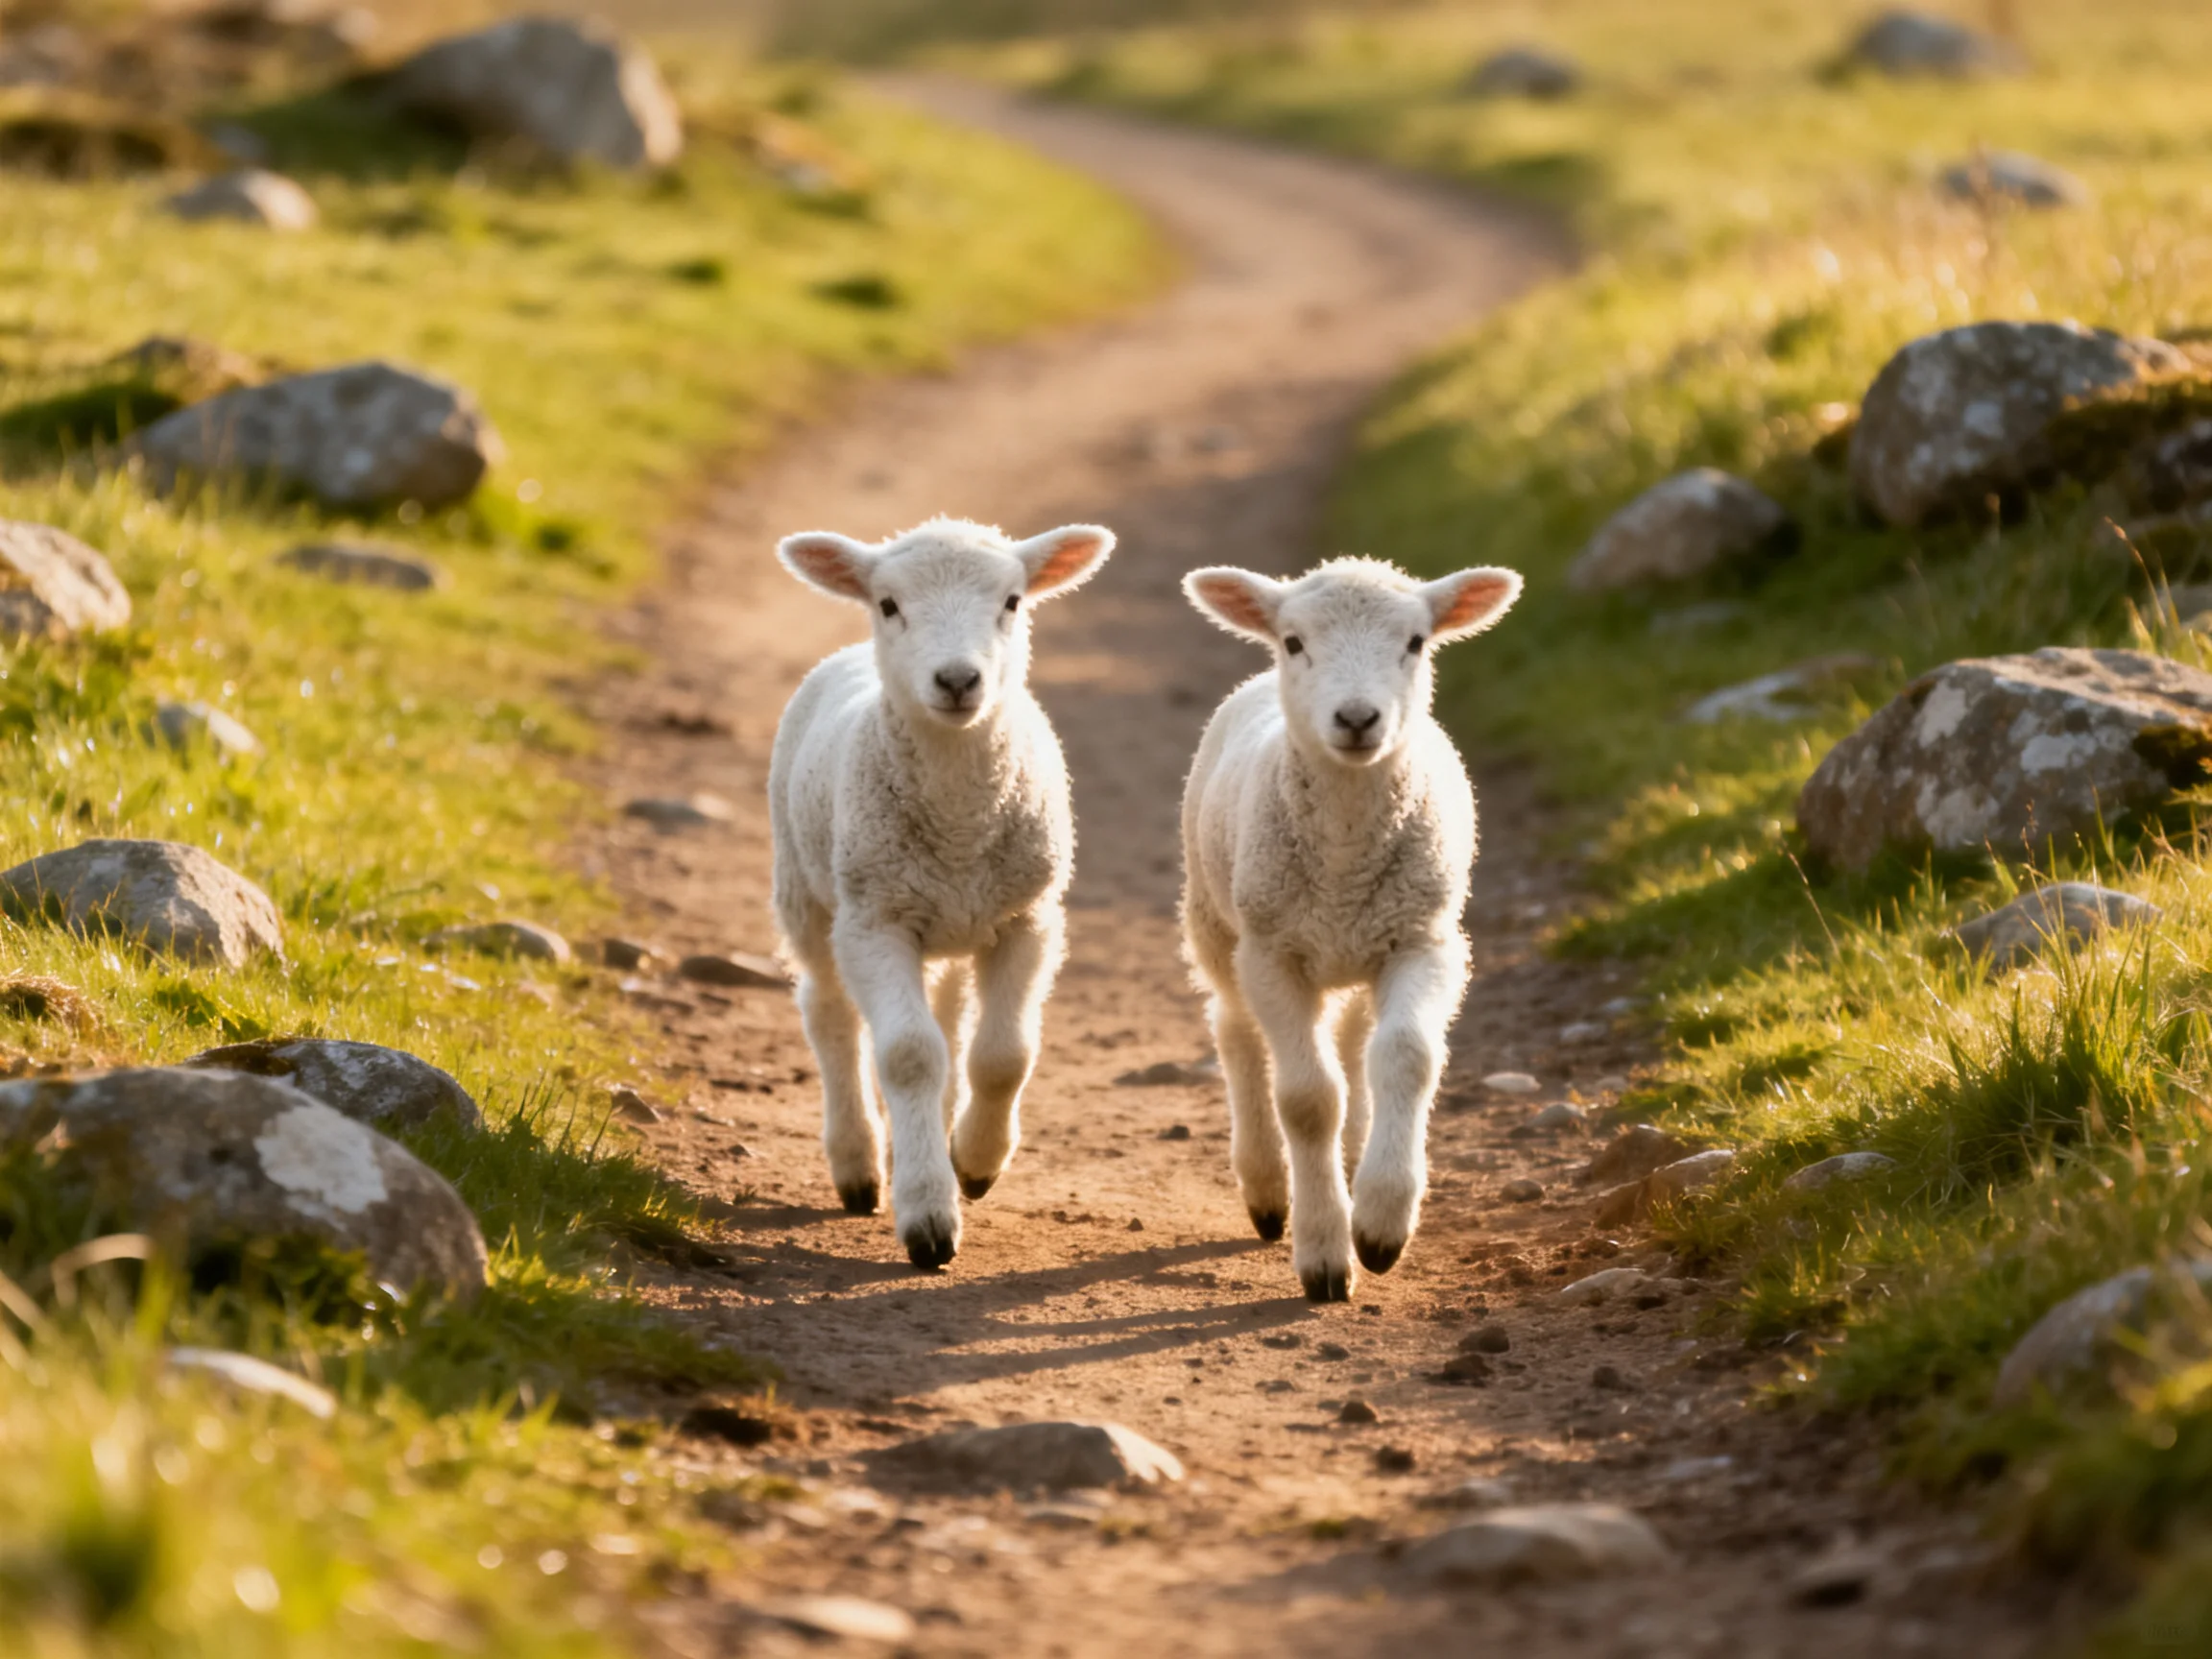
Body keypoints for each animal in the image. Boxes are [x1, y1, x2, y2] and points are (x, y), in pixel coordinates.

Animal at [769, 516, 1115, 1270]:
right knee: (830, 1014)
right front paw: (928, 1214)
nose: (958, 679)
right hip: (808, 894)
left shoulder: (1029, 917)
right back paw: (859, 1163)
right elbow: (907, 1055)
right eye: (889, 604)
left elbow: (1003, 1054)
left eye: (1013, 601)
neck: (959, 820)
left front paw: (977, 1161)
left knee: (953, 1022)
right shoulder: (875, 923)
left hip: (956, 921)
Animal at [1179, 556, 1523, 1301]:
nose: (1358, 718)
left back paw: (1360, 1157)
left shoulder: (1426, 942)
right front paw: (1324, 1255)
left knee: (1358, 1042)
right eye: (1295, 642)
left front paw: (1381, 1221)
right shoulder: (1274, 953)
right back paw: (1267, 1189)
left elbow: (1407, 1058)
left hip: (1363, 946)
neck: (1343, 853)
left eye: (1417, 642)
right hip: (1218, 922)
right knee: (1236, 1029)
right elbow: (1309, 1098)